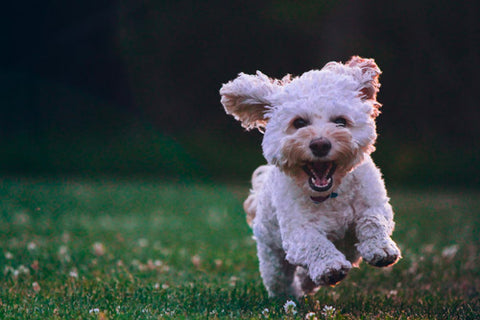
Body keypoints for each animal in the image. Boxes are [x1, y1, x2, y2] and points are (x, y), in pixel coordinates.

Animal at [221, 57, 402, 298]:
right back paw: (292, 294)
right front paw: (330, 267)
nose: (320, 144)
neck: (331, 194)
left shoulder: (374, 203)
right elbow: (314, 242)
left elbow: (373, 220)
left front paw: (381, 249)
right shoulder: (297, 231)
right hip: (272, 255)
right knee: (280, 279)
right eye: (299, 123)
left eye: (340, 121)